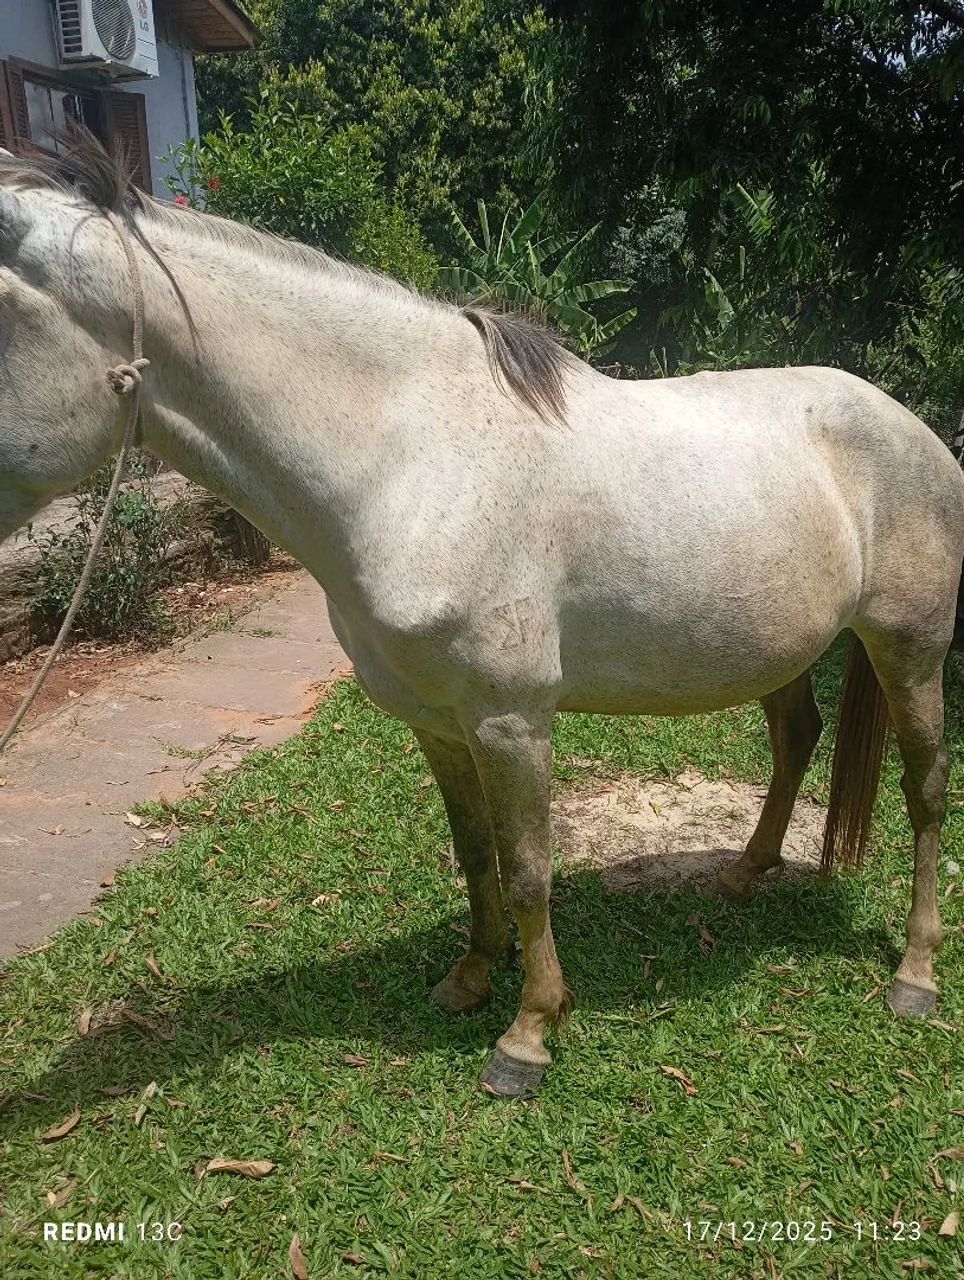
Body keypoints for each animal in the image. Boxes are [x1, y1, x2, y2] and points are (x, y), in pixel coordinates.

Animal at [1, 138, 962, 1097]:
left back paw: (914, 974)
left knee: (925, 789)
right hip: (779, 648)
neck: (410, 459)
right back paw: (743, 873)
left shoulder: (510, 720)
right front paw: (469, 978)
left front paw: (528, 1035)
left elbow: (530, 870)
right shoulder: (435, 721)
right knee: (797, 738)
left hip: (909, 649)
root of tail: (911, 427)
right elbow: (474, 855)